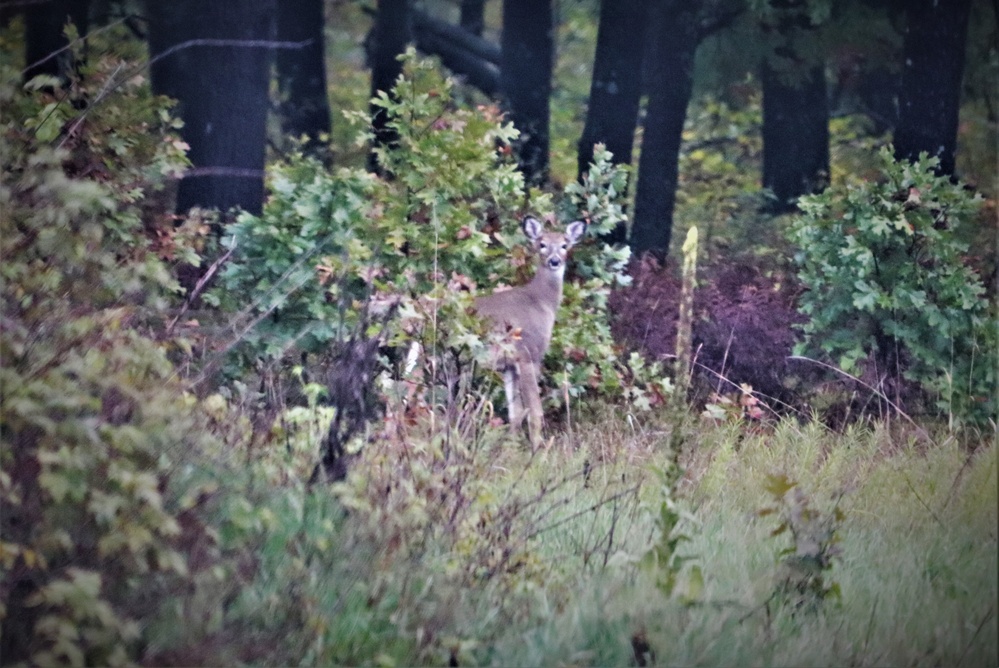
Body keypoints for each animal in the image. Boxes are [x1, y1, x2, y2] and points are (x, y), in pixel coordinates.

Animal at [474, 218, 584, 448]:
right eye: (542, 244)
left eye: (565, 244)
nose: (554, 261)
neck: (541, 302)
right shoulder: (528, 354)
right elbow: (535, 411)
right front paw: (538, 449)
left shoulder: (508, 365)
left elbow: (515, 412)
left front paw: (511, 447)